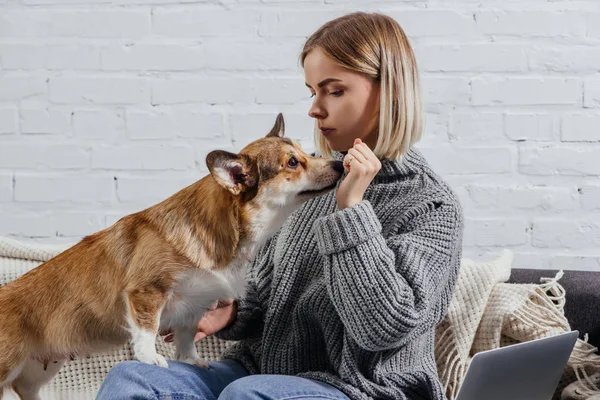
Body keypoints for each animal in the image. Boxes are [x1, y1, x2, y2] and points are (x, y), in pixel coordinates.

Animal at [0, 113, 342, 400]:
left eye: (305, 154)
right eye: (293, 163)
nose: (340, 166)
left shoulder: (196, 307)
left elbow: (187, 338)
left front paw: (191, 361)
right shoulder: (146, 292)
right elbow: (147, 330)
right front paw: (151, 358)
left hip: (36, 371)